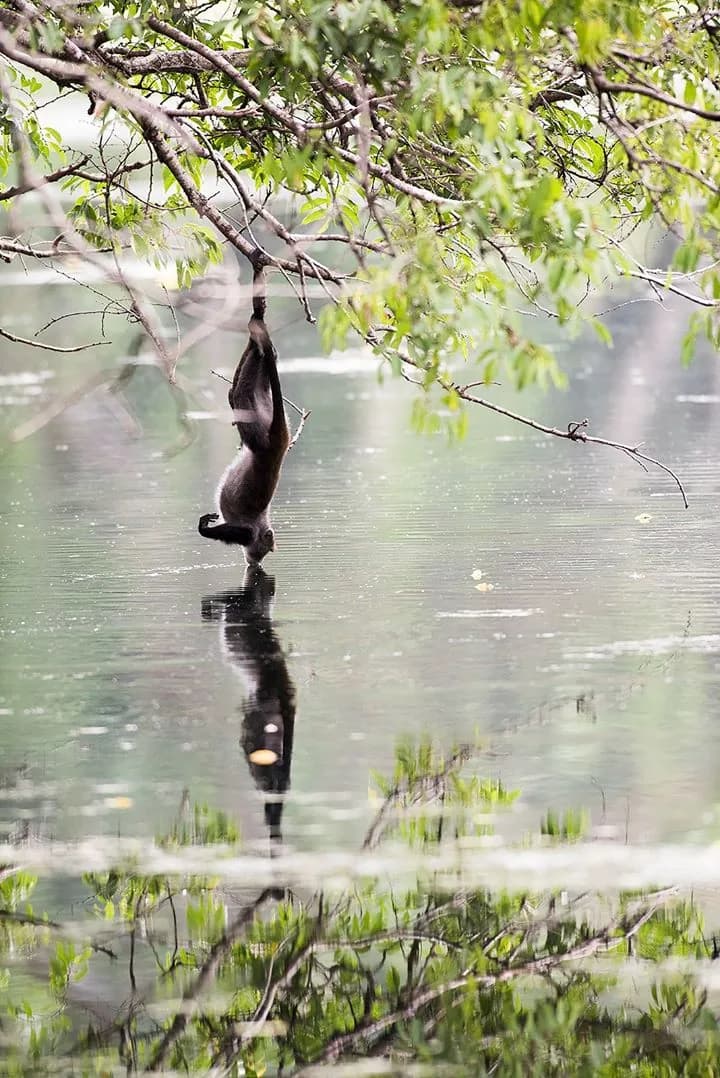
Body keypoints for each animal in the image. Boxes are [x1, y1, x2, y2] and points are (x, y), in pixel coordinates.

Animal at [198, 267, 290, 566]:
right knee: (243, 397)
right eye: (264, 548)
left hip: (263, 410)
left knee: (241, 393)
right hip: (263, 430)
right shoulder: (250, 531)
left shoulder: (248, 531)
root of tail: (280, 443)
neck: (260, 525)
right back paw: (259, 338)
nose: (254, 560)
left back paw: (256, 339)